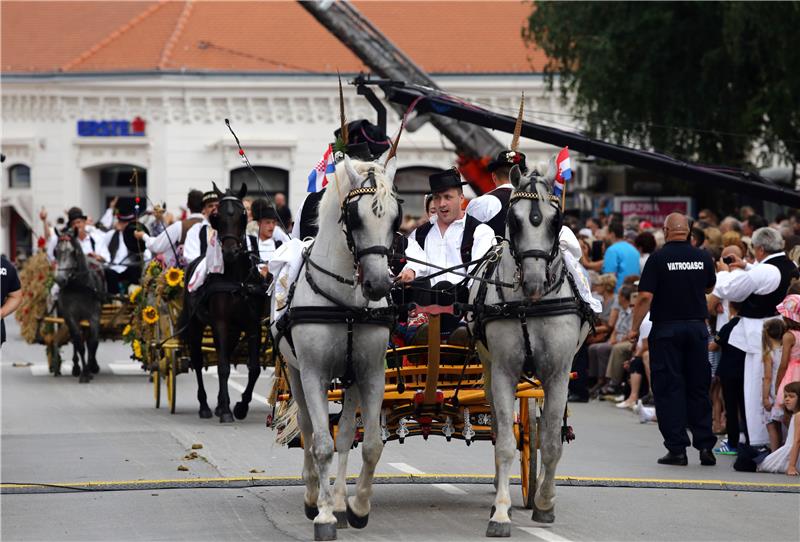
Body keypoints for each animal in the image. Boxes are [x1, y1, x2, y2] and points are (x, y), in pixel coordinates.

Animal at [53, 230, 106, 382]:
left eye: (73, 252)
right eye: (55, 251)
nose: (60, 280)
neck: (79, 287)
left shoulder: (94, 315)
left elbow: (93, 342)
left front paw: (91, 367)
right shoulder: (70, 317)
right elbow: (79, 343)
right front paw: (84, 372)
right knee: (76, 340)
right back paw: (76, 367)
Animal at [181, 183, 268, 424]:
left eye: (243, 215)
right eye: (216, 217)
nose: (230, 251)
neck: (237, 279)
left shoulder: (252, 324)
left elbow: (254, 368)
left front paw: (240, 406)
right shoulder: (220, 322)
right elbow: (222, 367)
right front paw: (228, 411)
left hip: (234, 330)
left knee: (226, 353)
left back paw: (221, 404)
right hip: (196, 326)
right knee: (198, 361)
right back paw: (205, 406)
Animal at [276, 155, 400, 540]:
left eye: (395, 218)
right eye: (354, 218)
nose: (378, 284)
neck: (345, 303)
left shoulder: (370, 373)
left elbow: (370, 444)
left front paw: (356, 507)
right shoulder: (313, 374)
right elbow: (321, 443)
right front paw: (324, 514)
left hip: (351, 381)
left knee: (345, 435)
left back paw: (342, 501)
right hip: (296, 374)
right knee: (307, 427)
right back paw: (314, 495)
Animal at [472, 159, 592, 536]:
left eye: (557, 220)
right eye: (515, 219)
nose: (536, 282)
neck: (530, 304)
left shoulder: (557, 374)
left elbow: (550, 441)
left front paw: (544, 504)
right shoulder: (503, 371)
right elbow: (506, 445)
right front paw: (500, 513)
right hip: (487, 368)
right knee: (501, 430)